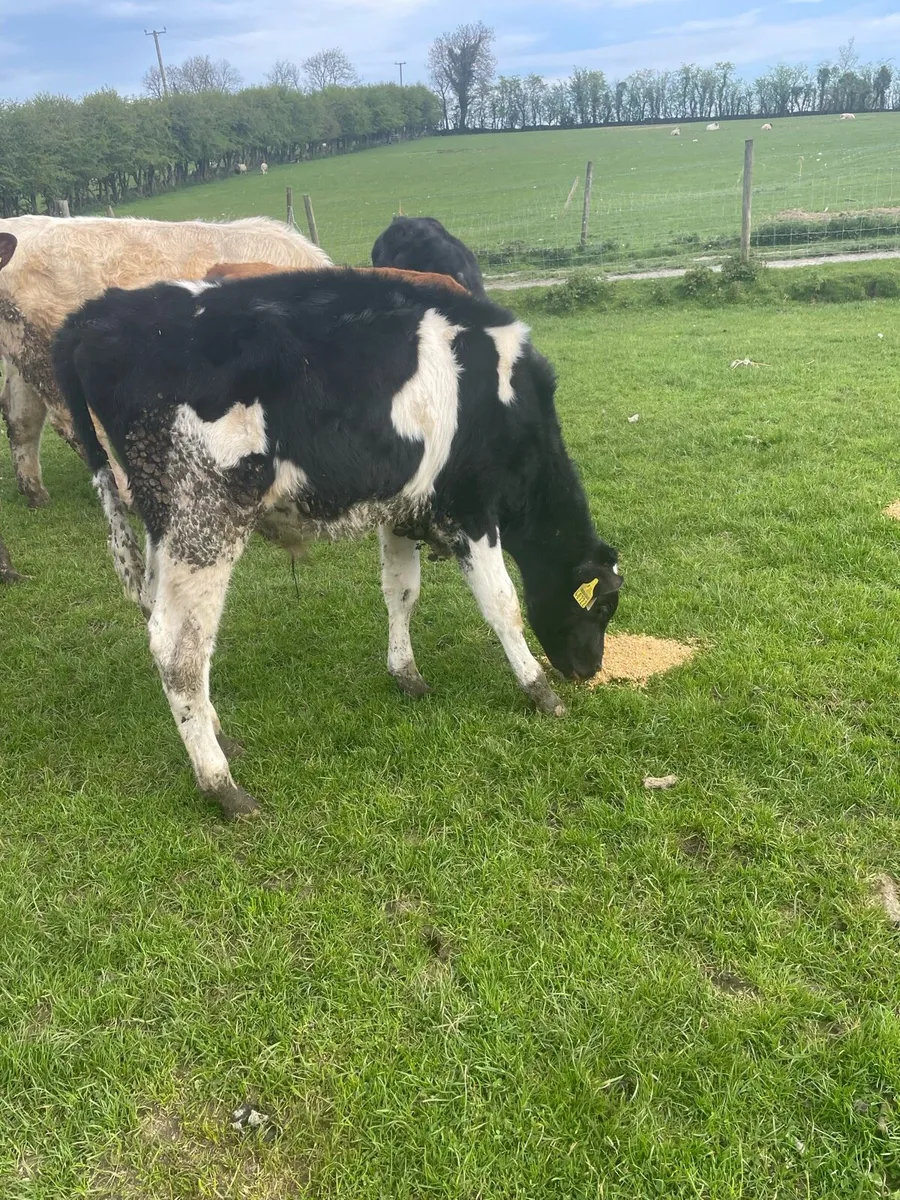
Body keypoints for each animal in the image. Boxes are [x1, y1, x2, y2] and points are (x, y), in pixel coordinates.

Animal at [52, 267, 623, 819]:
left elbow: (402, 592)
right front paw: (538, 689)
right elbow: (503, 604)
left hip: (165, 525)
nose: (590, 669)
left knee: (161, 615)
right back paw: (223, 786)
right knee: (179, 647)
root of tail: (99, 312)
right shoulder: (471, 505)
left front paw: (407, 674)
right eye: (601, 609)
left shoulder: (403, 508)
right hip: (204, 516)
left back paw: (218, 734)